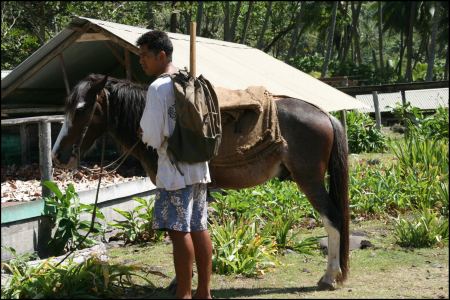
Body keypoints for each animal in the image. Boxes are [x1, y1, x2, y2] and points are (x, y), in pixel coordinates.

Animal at [51, 73, 348, 290]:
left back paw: (329, 277)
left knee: (333, 219)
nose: (58, 155)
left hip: (309, 180)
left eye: (82, 109)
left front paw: (179, 281)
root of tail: (325, 114)